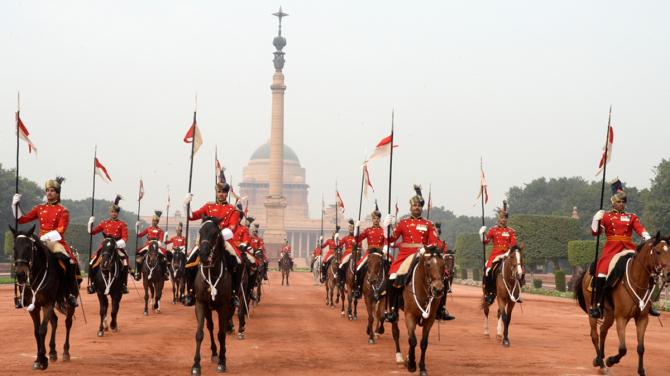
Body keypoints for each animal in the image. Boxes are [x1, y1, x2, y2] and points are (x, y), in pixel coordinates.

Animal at [12, 226, 76, 370]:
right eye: (14, 248)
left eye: (29, 247)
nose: (21, 274)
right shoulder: (34, 306)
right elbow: (36, 331)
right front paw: (39, 358)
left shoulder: (48, 303)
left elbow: (42, 330)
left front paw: (42, 360)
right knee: (55, 321)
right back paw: (52, 352)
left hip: (69, 302)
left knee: (68, 322)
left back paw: (66, 352)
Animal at [192, 217, 236, 376]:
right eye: (200, 232)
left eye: (215, 233)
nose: (204, 255)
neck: (212, 271)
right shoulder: (200, 303)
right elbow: (200, 333)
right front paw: (196, 365)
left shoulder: (224, 305)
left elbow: (221, 333)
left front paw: (222, 362)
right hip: (208, 308)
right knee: (210, 326)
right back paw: (214, 352)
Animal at [572, 234, 670, 374]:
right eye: (657, 252)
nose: (668, 274)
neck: (637, 279)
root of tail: (587, 272)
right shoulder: (621, 318)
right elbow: (623, 349)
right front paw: (611, 360)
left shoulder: (642, 319)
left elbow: (641, 347)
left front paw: (641, 370)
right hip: (593, 310)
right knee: (595, 335)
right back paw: (602, 363)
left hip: (610, 314)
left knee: (603, 330)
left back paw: (599, 359)